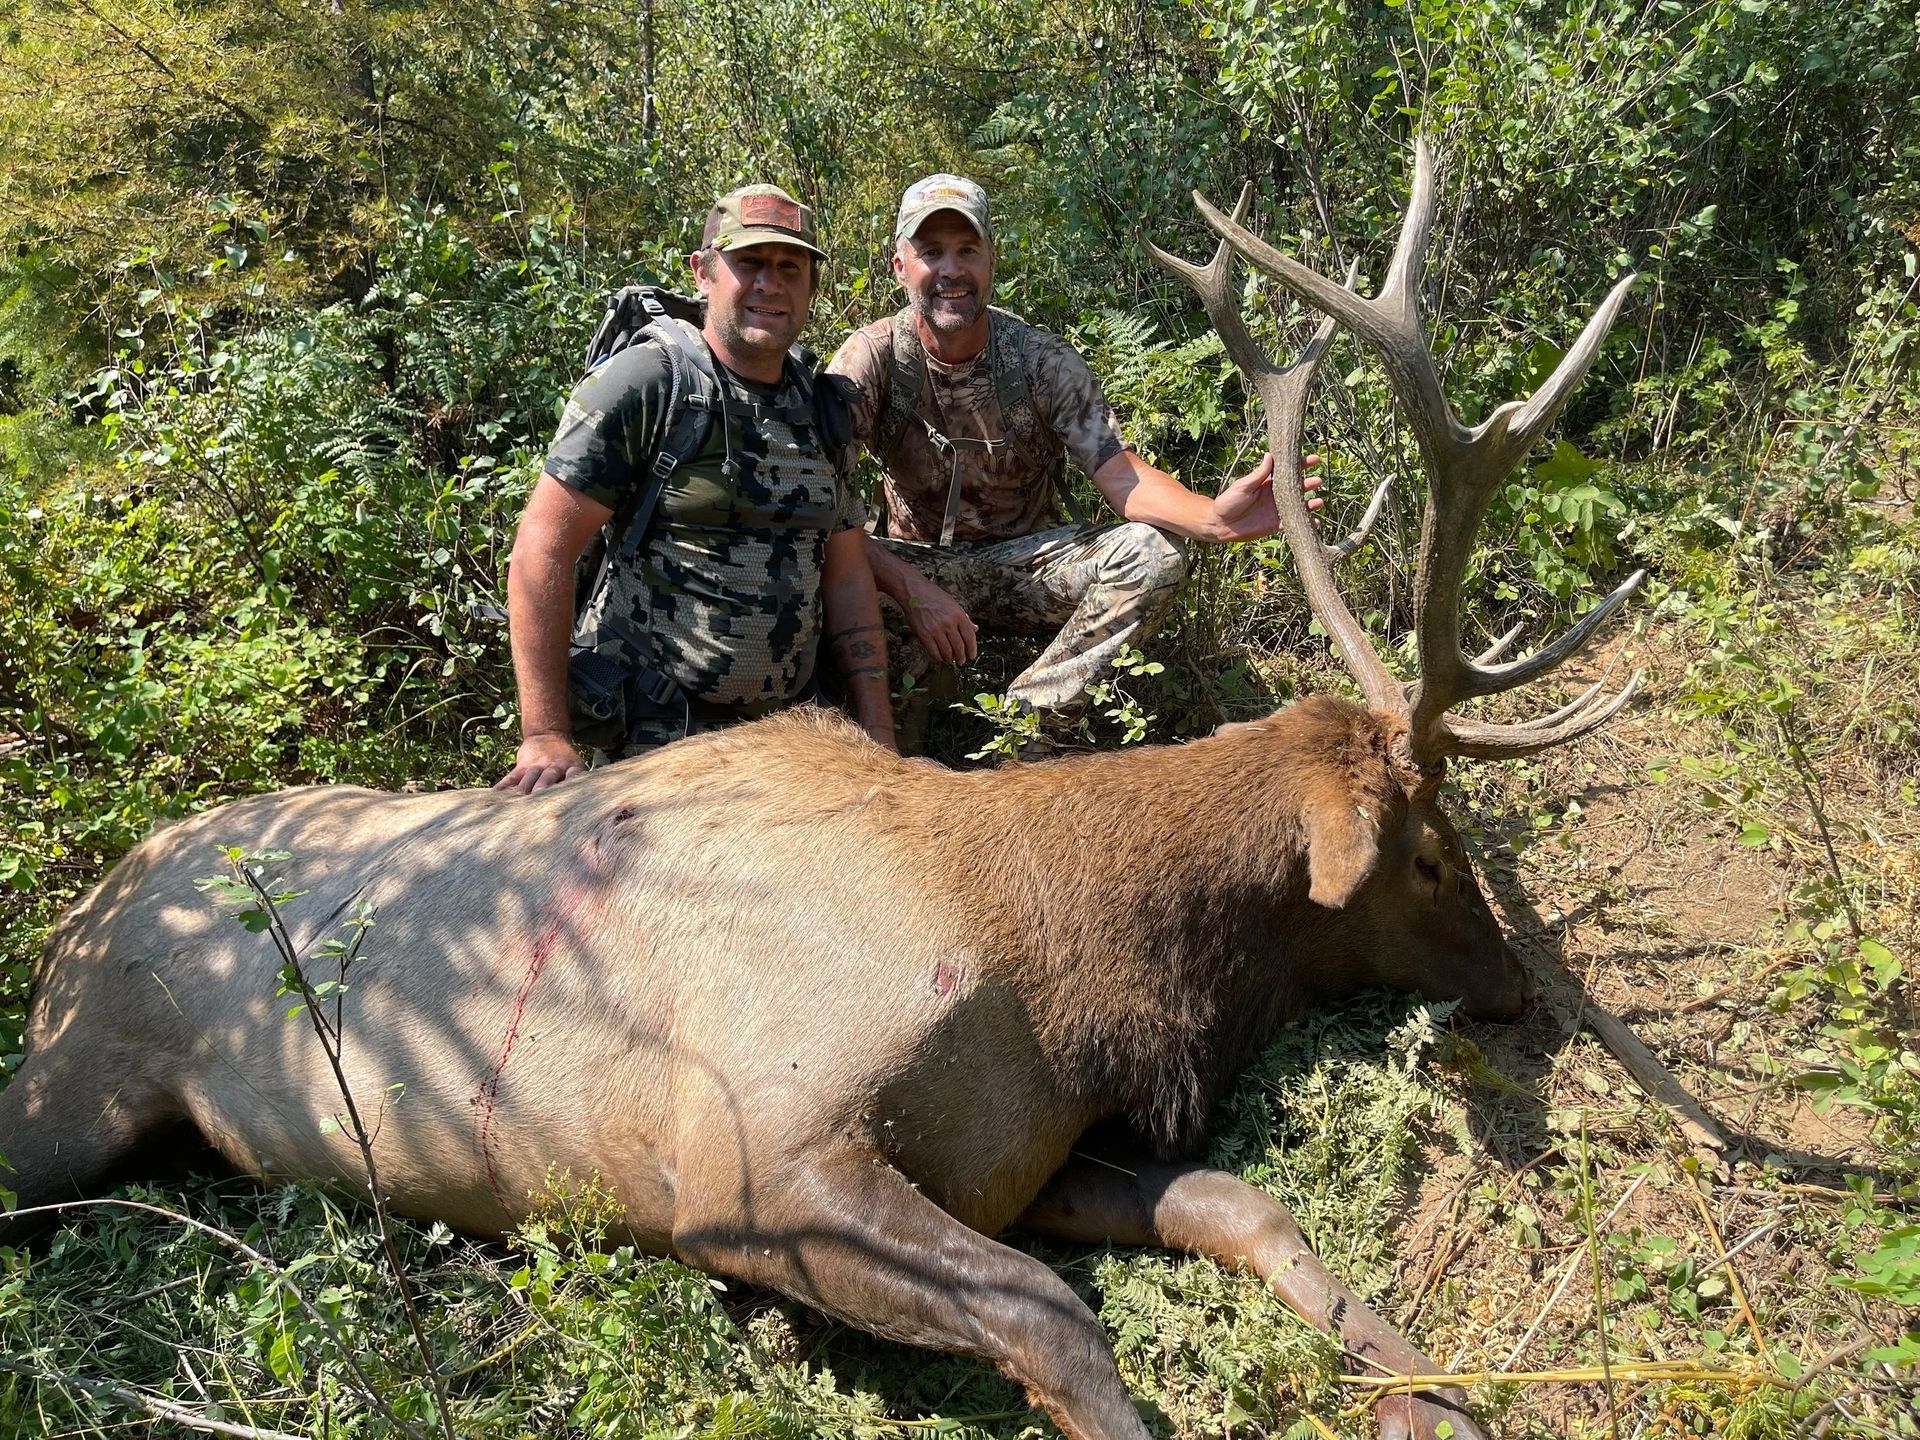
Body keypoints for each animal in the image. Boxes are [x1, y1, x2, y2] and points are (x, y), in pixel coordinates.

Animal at [1, 141, 1644, 1440]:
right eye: (1428, 854)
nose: (1518, 985)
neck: (1065, 959)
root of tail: (78, 912)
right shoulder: (748, 1160)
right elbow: (1055, 1321)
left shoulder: (1019, 1156)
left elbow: (1242, 1206)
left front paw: (1432, 1396)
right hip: (77, 1079)